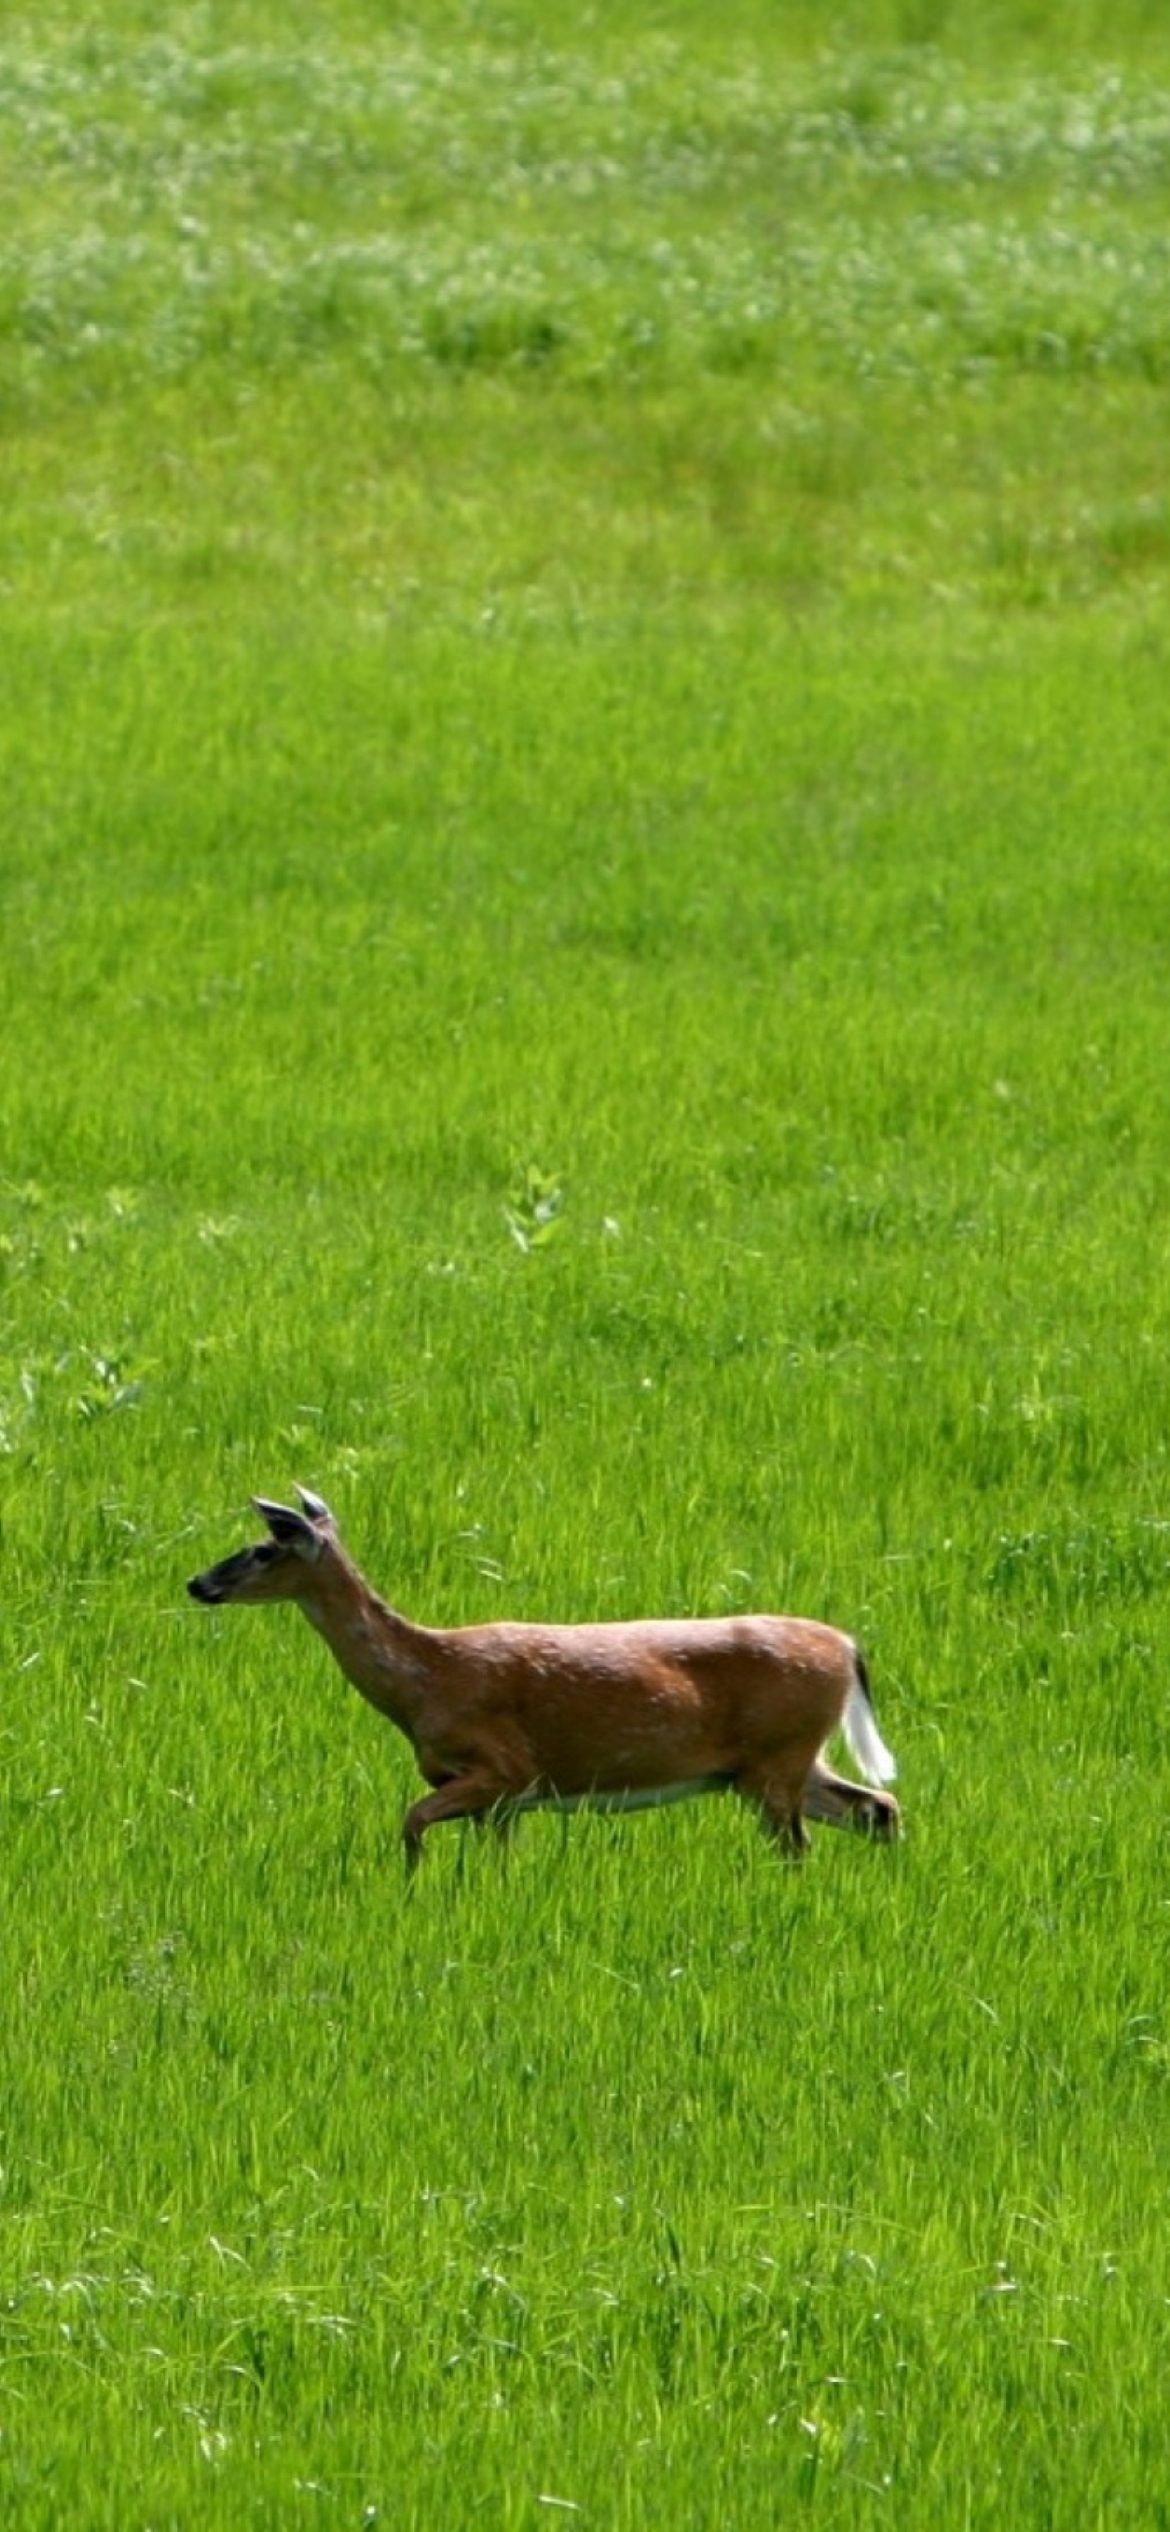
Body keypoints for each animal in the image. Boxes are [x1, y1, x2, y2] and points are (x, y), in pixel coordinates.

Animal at [187, 1478, 901, 1863]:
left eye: (261, 1550)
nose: (198, 1583)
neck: (423, 1681)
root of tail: (846, 1645)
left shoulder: (503, 1769)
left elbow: (412, 1822)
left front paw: (412, 1891)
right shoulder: (501, 1802)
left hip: (775, 1758)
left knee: (807, 1842)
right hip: (781, 1761)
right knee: (878, 1806)